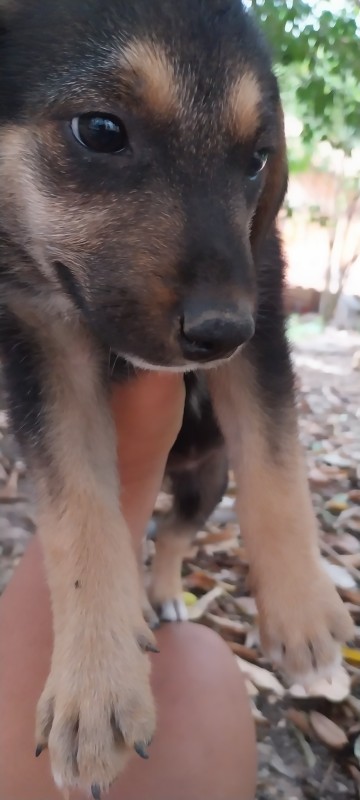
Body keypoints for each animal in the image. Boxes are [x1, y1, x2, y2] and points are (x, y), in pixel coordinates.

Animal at [0, 0, 354, 792]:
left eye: (256, 159)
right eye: (101, 131)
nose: (221, 333)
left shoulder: (263, 302)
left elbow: (277, 462)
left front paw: (304, 608)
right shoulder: (41, 345)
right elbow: (79, 511)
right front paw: (96, 684)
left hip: (205, 480)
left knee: (173, 531)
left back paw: (163, 593)